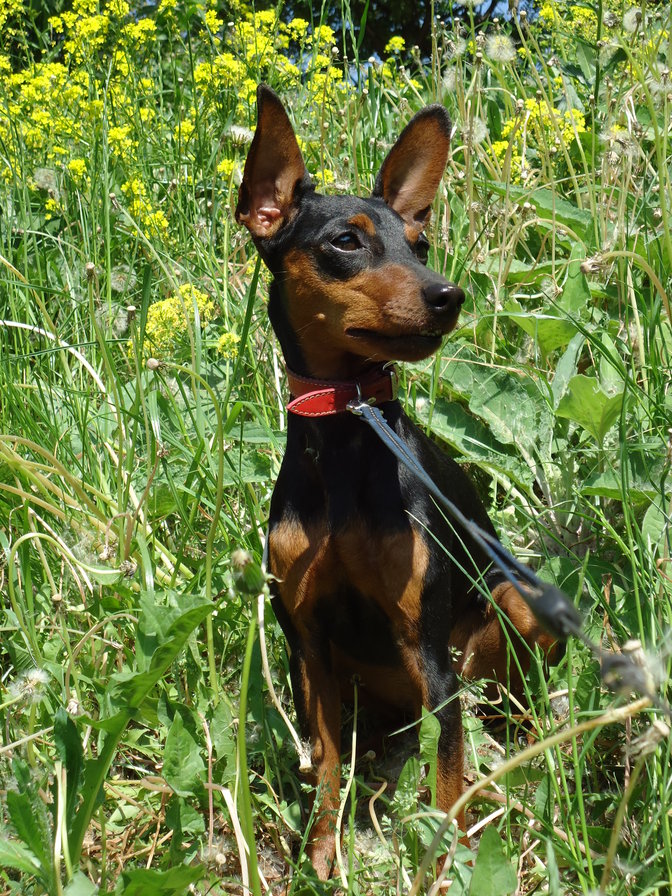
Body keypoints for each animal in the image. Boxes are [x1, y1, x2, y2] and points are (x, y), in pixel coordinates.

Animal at [236, 87, 556, 880]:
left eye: (419, 245)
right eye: (346, 242)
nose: (449, 296)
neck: (348, 432)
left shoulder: (431, 658)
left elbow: (447, 790)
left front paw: (448, 875)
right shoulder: (309, 648)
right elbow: (325, 769)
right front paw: (322, 854)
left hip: (507, 613)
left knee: (500, 712)